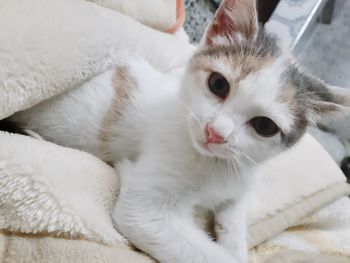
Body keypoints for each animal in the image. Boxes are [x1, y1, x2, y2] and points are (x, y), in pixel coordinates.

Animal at [6, 0, 350, 263]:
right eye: (218, 84)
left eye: (264, 126)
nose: (215, 132)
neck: (216, 165)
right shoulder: (144, 210)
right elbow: (207, 253)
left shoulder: (244, 175)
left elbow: (235, 213)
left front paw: (234, 241)